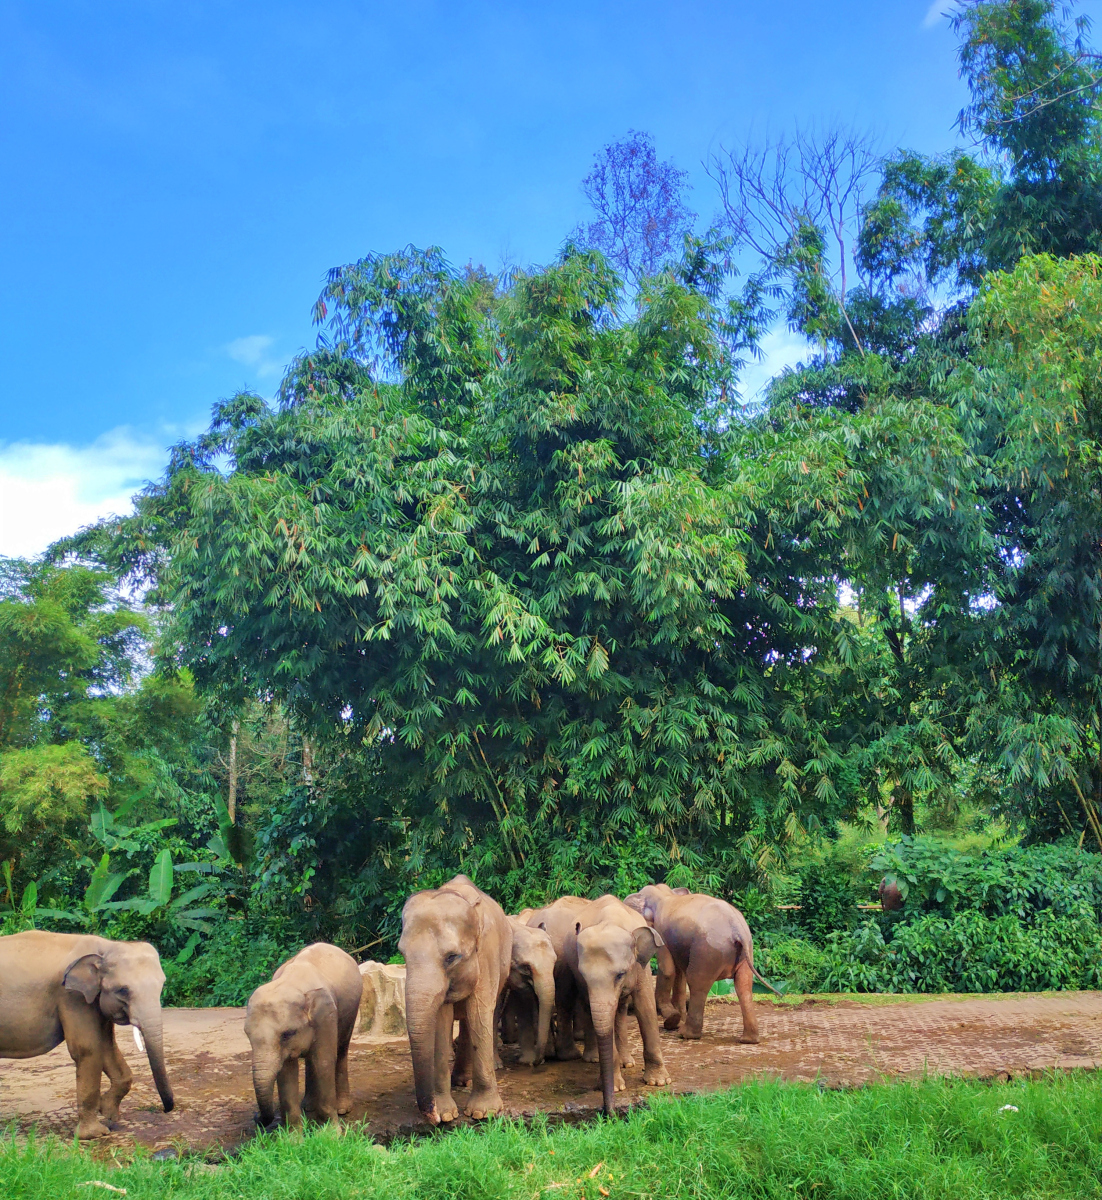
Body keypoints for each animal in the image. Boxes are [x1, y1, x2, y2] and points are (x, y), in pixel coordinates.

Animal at [0, 931, 175, 1137]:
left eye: (162, 985)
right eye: (123, 990)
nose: (165, 1109)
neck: (105, 947)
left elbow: (106, 1047)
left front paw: (108, 1113)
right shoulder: (71, 996)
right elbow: (88, 1048)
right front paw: (95, 1134)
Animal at [244, 940, 362, 1128]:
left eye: (287, 1034)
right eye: (247, 1034)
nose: (256, 1116)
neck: (291, 982)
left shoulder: (326, 1015)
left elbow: (324, 1061)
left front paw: (331, 1132)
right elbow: (286, 1071)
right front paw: (293, 1135)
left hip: (351, 1010)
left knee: (341, 1050)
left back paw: (342, 1109)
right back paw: (308, 1106)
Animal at [400, 873, 513, 1123]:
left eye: (452, 957)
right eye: (402, 954)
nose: (431, 1116)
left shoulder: (487, 953)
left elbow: (479, 1011)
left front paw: (483, 1113)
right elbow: (442, 1019)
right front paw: (447, 1115)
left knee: (485, 1014)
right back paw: (460, 1080)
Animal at [561, 892, 672, 1113]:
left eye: (620, 975)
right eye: (584, 976)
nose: (609, 1114)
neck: (611, 921)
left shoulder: (640, 967)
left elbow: (645, 1006)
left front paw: (658, 1082)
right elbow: (599, 1018)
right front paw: (616, 1087)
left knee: (620, 1009)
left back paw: (627, 1063)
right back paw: (600, 1060)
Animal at [624, 883, 763, 1041]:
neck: (665, 895)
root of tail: (737, 930)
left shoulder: (661, 931)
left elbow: (667, 969)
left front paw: (672, 1019)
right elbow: (679, 973)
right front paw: (676, 1018)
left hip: (707, 951)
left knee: (697, 983)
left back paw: (686, 1034)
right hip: (745, 953)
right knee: (743, 985)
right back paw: (748, 1039)